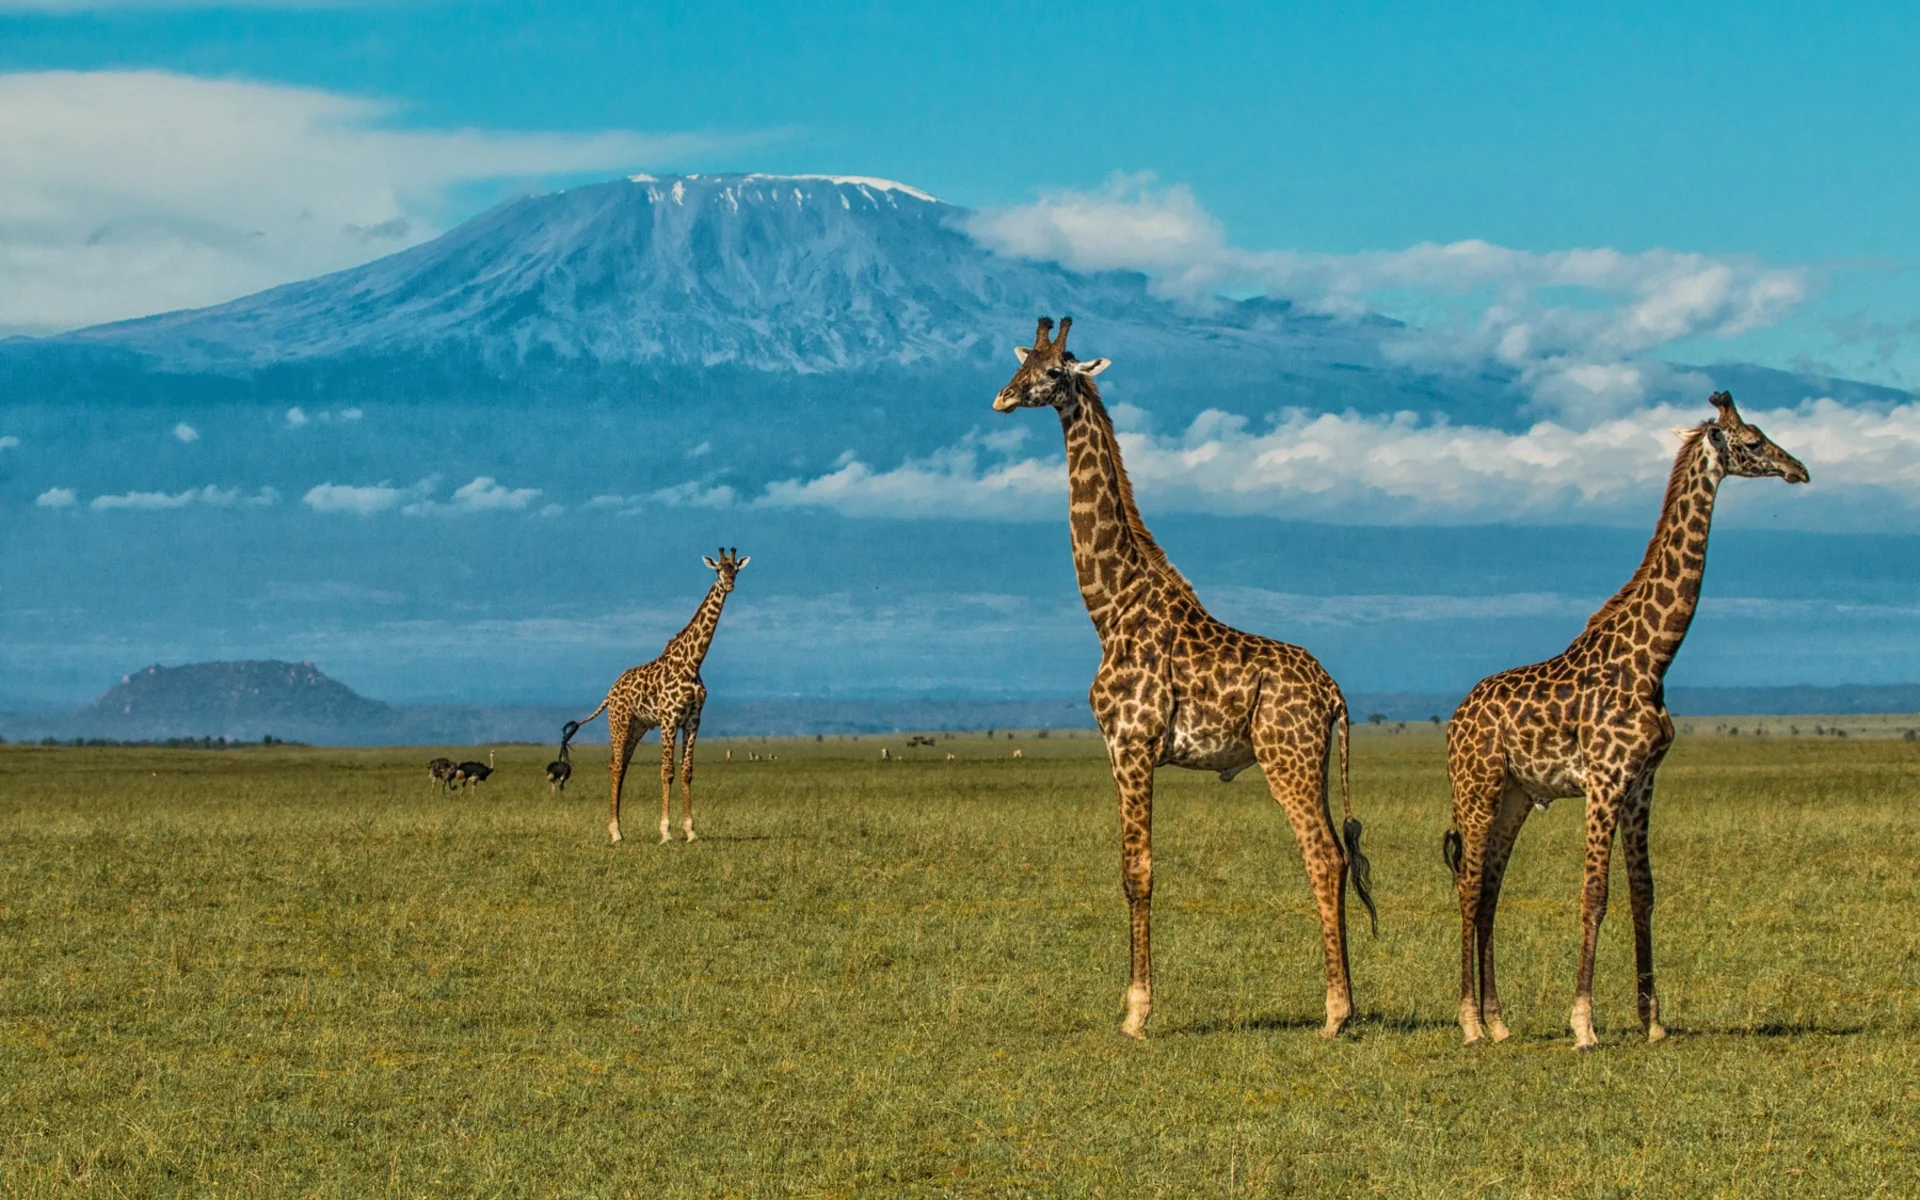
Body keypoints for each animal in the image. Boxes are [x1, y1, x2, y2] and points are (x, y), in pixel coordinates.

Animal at [560, 549, 744, 840]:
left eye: (735, 569)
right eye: (718, 570)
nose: (728, 584)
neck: (693, 662)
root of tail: (610, 692)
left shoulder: (693, 720)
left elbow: (687, 770)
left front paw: (690, 831)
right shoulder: (669, 719)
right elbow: (667, 770)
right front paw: (665, 832)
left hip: (637, 727)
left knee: (621, 765)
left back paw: (618, 829)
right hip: (619, 722)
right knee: (615, 765)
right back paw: (615, 833)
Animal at [998, 318, 1374, 1036]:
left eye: (1055, 371)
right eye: (1022, 362)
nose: (1002, 398)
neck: (1110, 607)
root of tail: (1336, 694)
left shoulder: (1132, 744)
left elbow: (1136, 871)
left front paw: (1136, 1013)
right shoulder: (1122, 748)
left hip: (1286, 758)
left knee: (1322, 854)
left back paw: (1336, 1013)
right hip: (1310, 763)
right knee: (1338, 856)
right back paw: (1343, 1005)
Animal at [1443, 393, 1804, 1044]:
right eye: (1753, 441)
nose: (1800, 469)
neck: (1653, 657)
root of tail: (1457, 719)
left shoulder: (1642, 783)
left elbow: (1644, 892)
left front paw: (1652, 1022)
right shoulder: (1605, 781)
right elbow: (1595, 893)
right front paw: (1584, 1024)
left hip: (1514, 796)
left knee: (1490, 891)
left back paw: (1501, 1022)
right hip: (1477, 787)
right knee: (1468, 886)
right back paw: (1471, 1024)